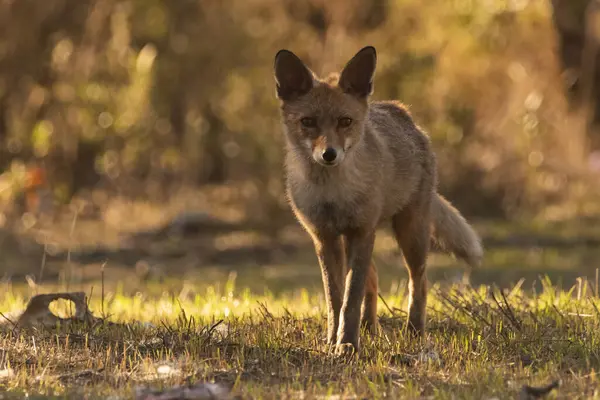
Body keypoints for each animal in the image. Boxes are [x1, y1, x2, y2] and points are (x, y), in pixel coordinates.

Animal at [272, 45, 482, 354]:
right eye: (308, 122)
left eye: (345, 121)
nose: (329, 154)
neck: (333, 195)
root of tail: (400, 110)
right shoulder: (325, 238)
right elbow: (337, 300)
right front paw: (334, 341)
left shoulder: (360, 232)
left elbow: (350, 298)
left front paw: (347, 345)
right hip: (361, 241)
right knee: (372, 282)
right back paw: (370, 329)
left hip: (410, 234)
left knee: (419, 283)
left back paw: (414, 332)